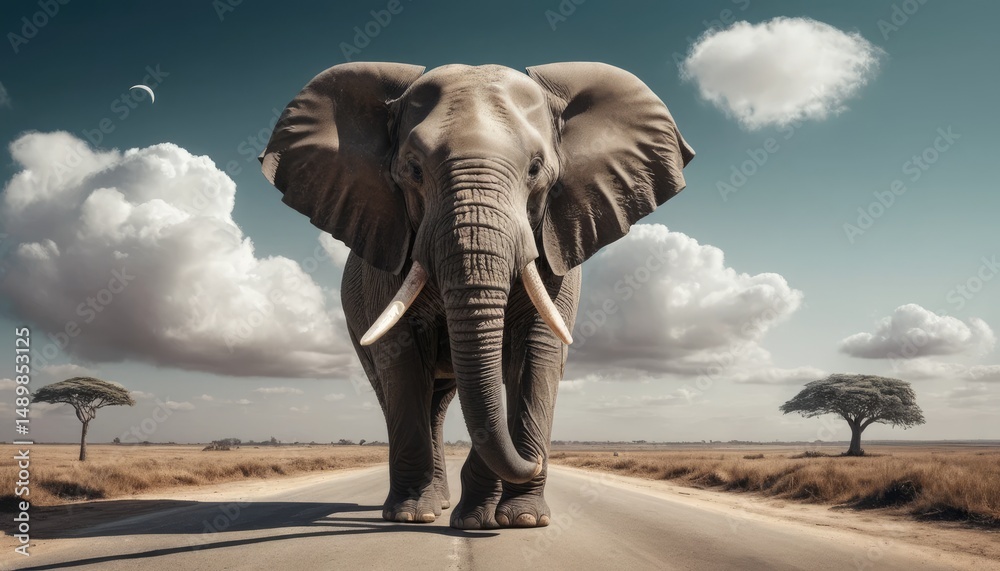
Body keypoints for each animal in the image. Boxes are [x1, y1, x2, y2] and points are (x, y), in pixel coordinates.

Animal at [259, 61, 693, 529]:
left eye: (536, 169)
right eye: (413, 169)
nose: (536, 461)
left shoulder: (559, 244)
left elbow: (536, 353)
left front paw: (517, 520)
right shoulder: (385, 254)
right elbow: (401, 357)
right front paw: (414, 516)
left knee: (444, 398)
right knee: (403, 393)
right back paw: (425, 507)